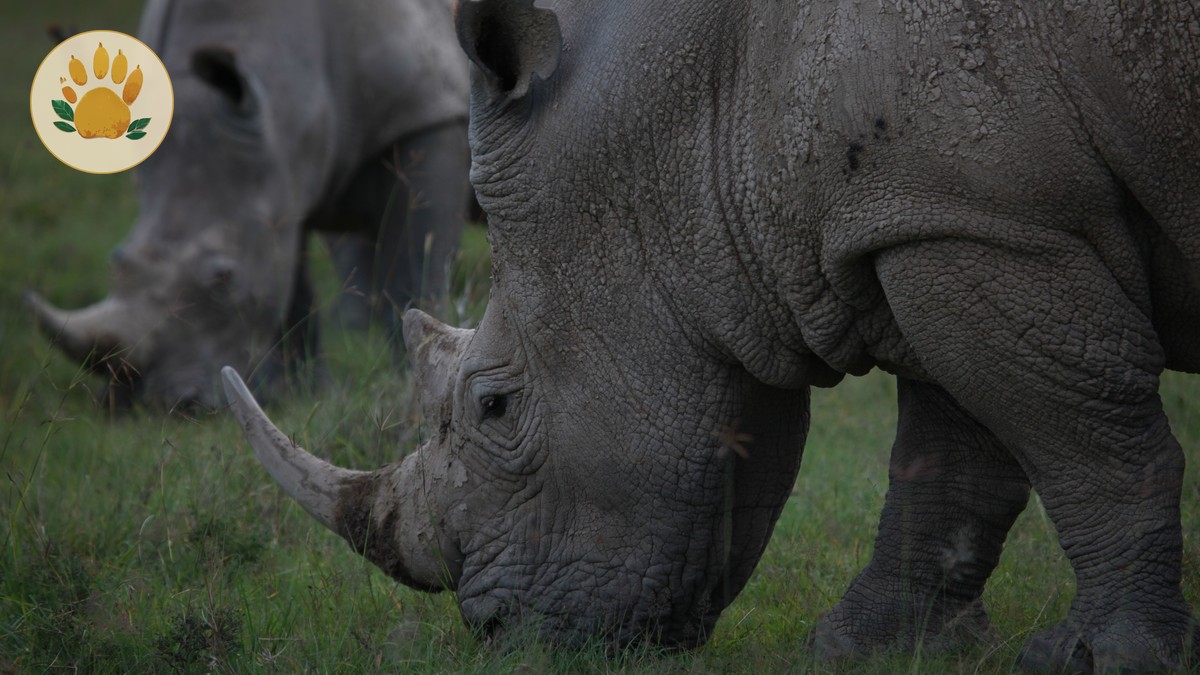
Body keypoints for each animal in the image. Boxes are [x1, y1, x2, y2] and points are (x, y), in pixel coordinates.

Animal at [26, 0, 470, 409]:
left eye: (223, 278)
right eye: (116, 261)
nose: (153, 407)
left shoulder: (428, 113)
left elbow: (414, 269)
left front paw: (414, 387)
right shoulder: (283, 178)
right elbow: (289, 289)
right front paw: (295, 397)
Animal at [221, 0, 1200, 670]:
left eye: (495, 406)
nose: (496, 634)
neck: (698, 114)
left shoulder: (990, 220)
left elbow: (1085, 439)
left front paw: (1101, 656)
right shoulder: (922, 215)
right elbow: (952, 451)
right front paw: (869, 647)